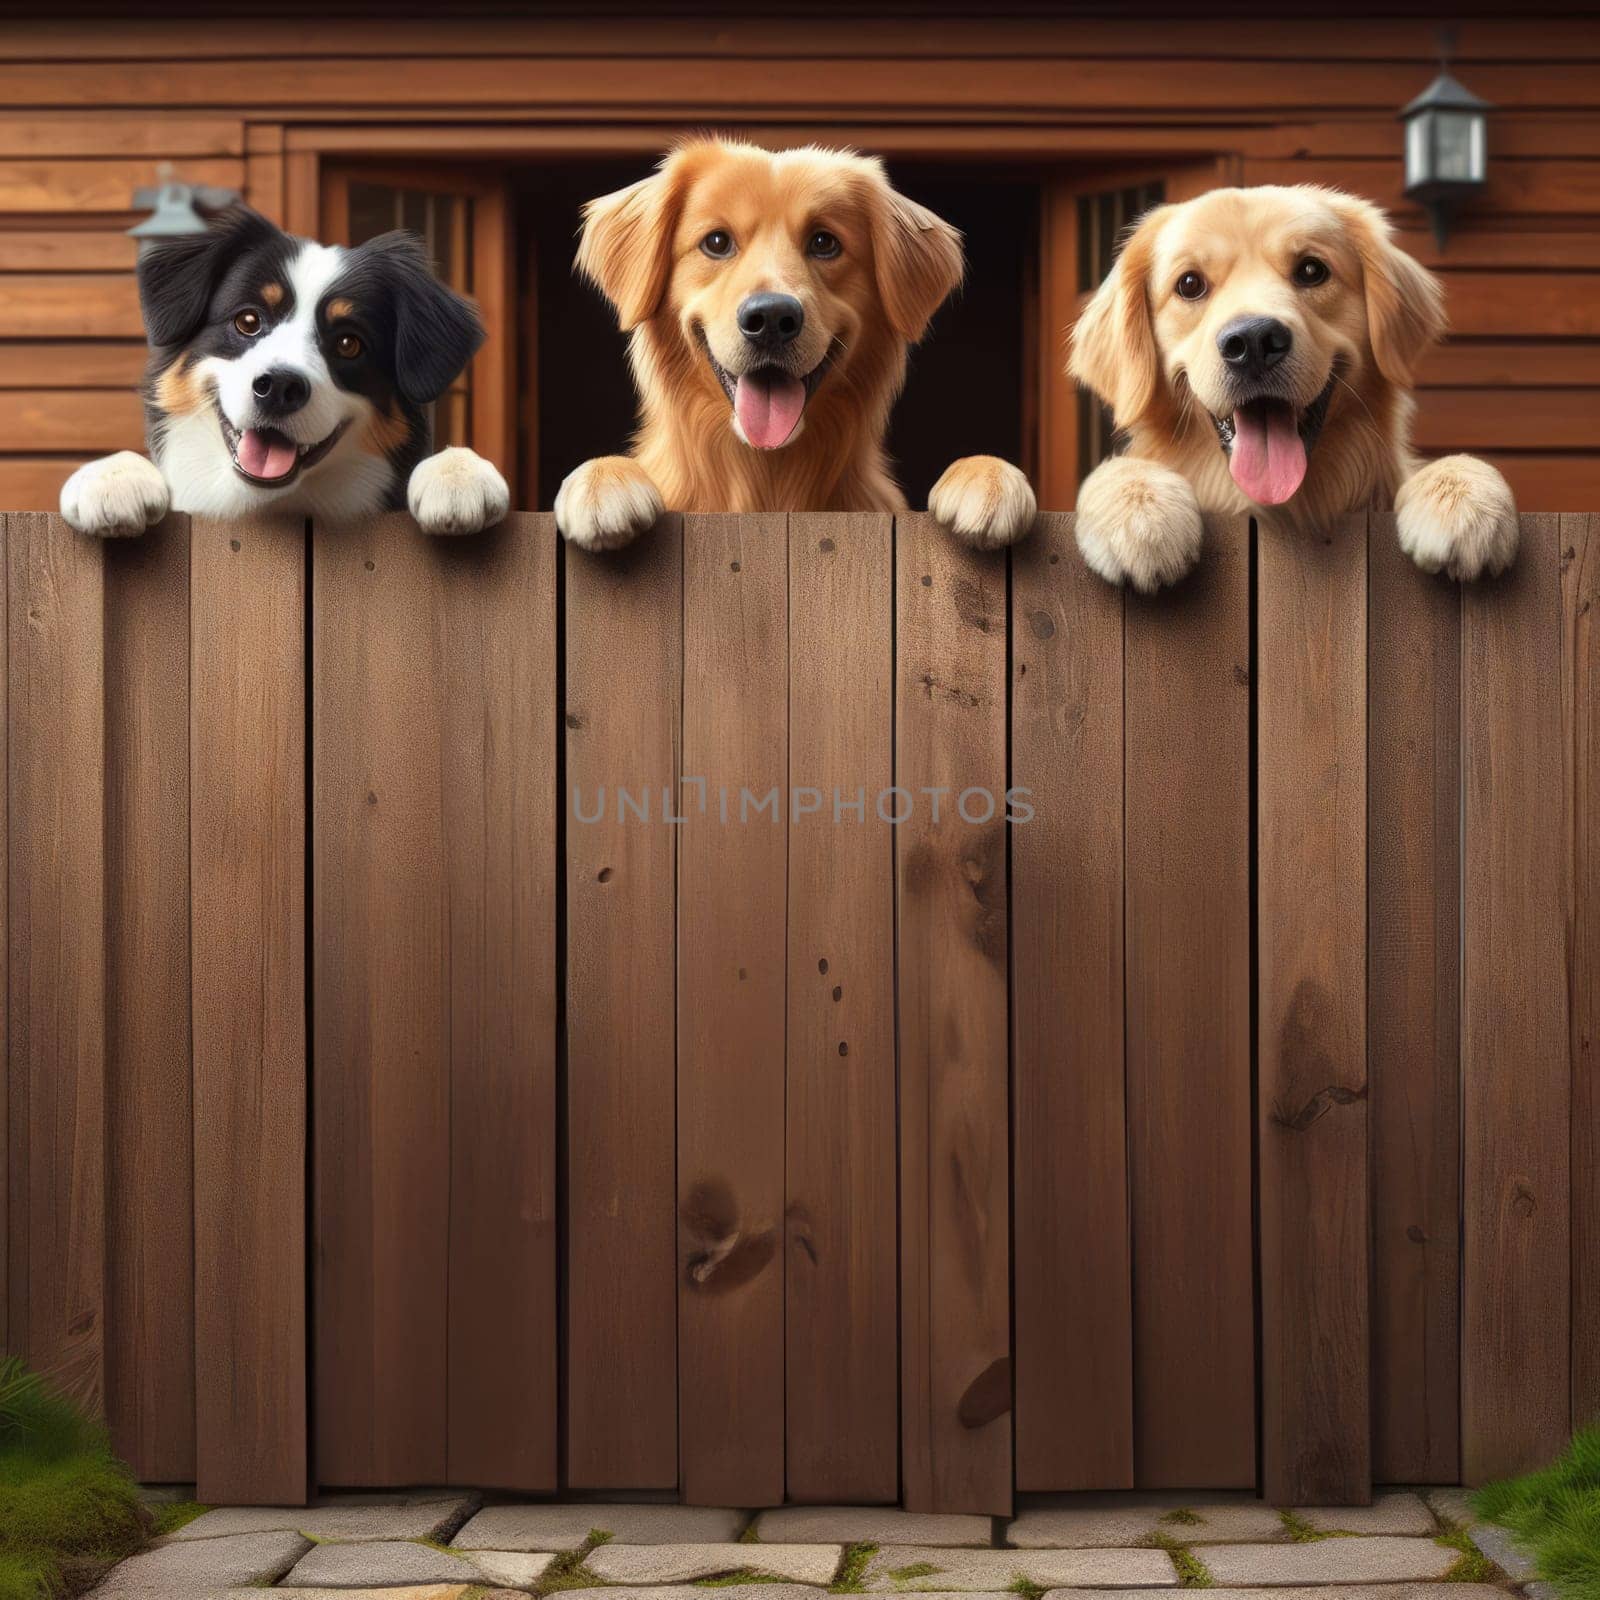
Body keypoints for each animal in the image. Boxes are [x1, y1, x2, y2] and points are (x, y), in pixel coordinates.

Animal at [553, 139, 1036, 550]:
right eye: (716, 242)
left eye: (824, 243)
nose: (770, 319)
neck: (767, 479)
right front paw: (602, 483)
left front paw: (988, 481)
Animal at [1068, 187, 1516, 588]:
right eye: (1190, 284)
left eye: (1311, 270)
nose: (1252, 342)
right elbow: (1115, 472)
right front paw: (1141, 516)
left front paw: (1467, 501)